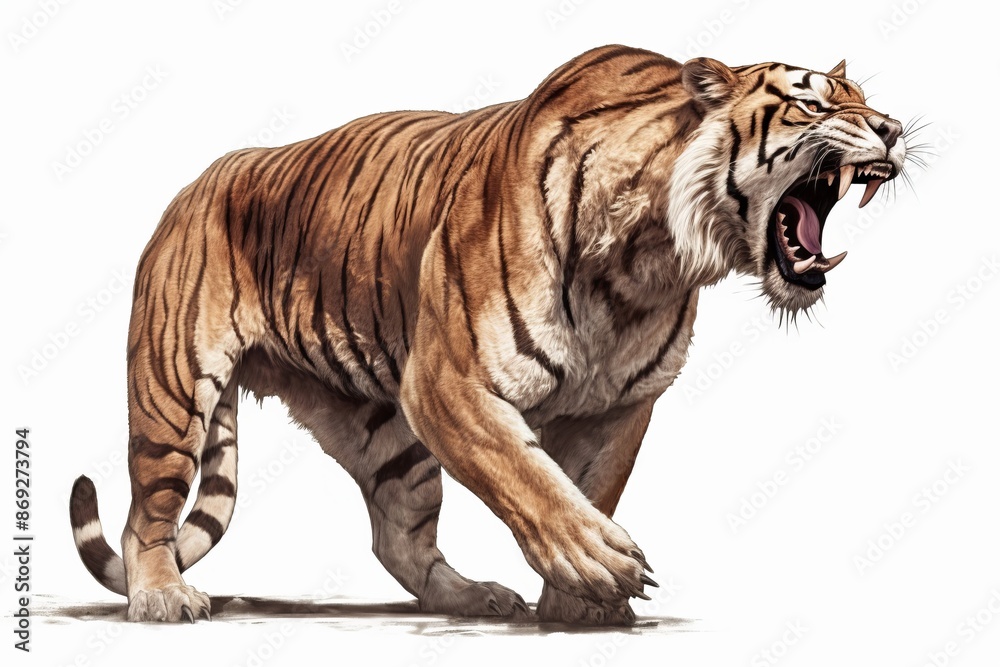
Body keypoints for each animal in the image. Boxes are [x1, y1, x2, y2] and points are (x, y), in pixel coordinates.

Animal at [69, 44, 907, 625]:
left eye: (868, 98)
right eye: (812, 102)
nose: (895, 128)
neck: (651, 259)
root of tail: (198, 181)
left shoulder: (619, 406)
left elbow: (590, 483)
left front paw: (579, 603)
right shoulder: (449, 381)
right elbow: (528, 476)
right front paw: (595, 561)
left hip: (386, 431)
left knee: (399, 539)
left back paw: (473, 595)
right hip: (175, 391)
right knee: (146, 516)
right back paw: (162, 597)